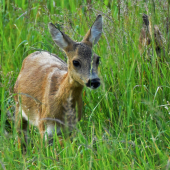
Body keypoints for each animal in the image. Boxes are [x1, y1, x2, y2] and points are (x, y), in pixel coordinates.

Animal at [14, 14, 102, 146]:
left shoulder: (71, 129)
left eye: (97, 59)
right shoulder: (43, 126)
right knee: (21, 137)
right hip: (18, 105)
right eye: (76, 62)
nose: (94, 81)